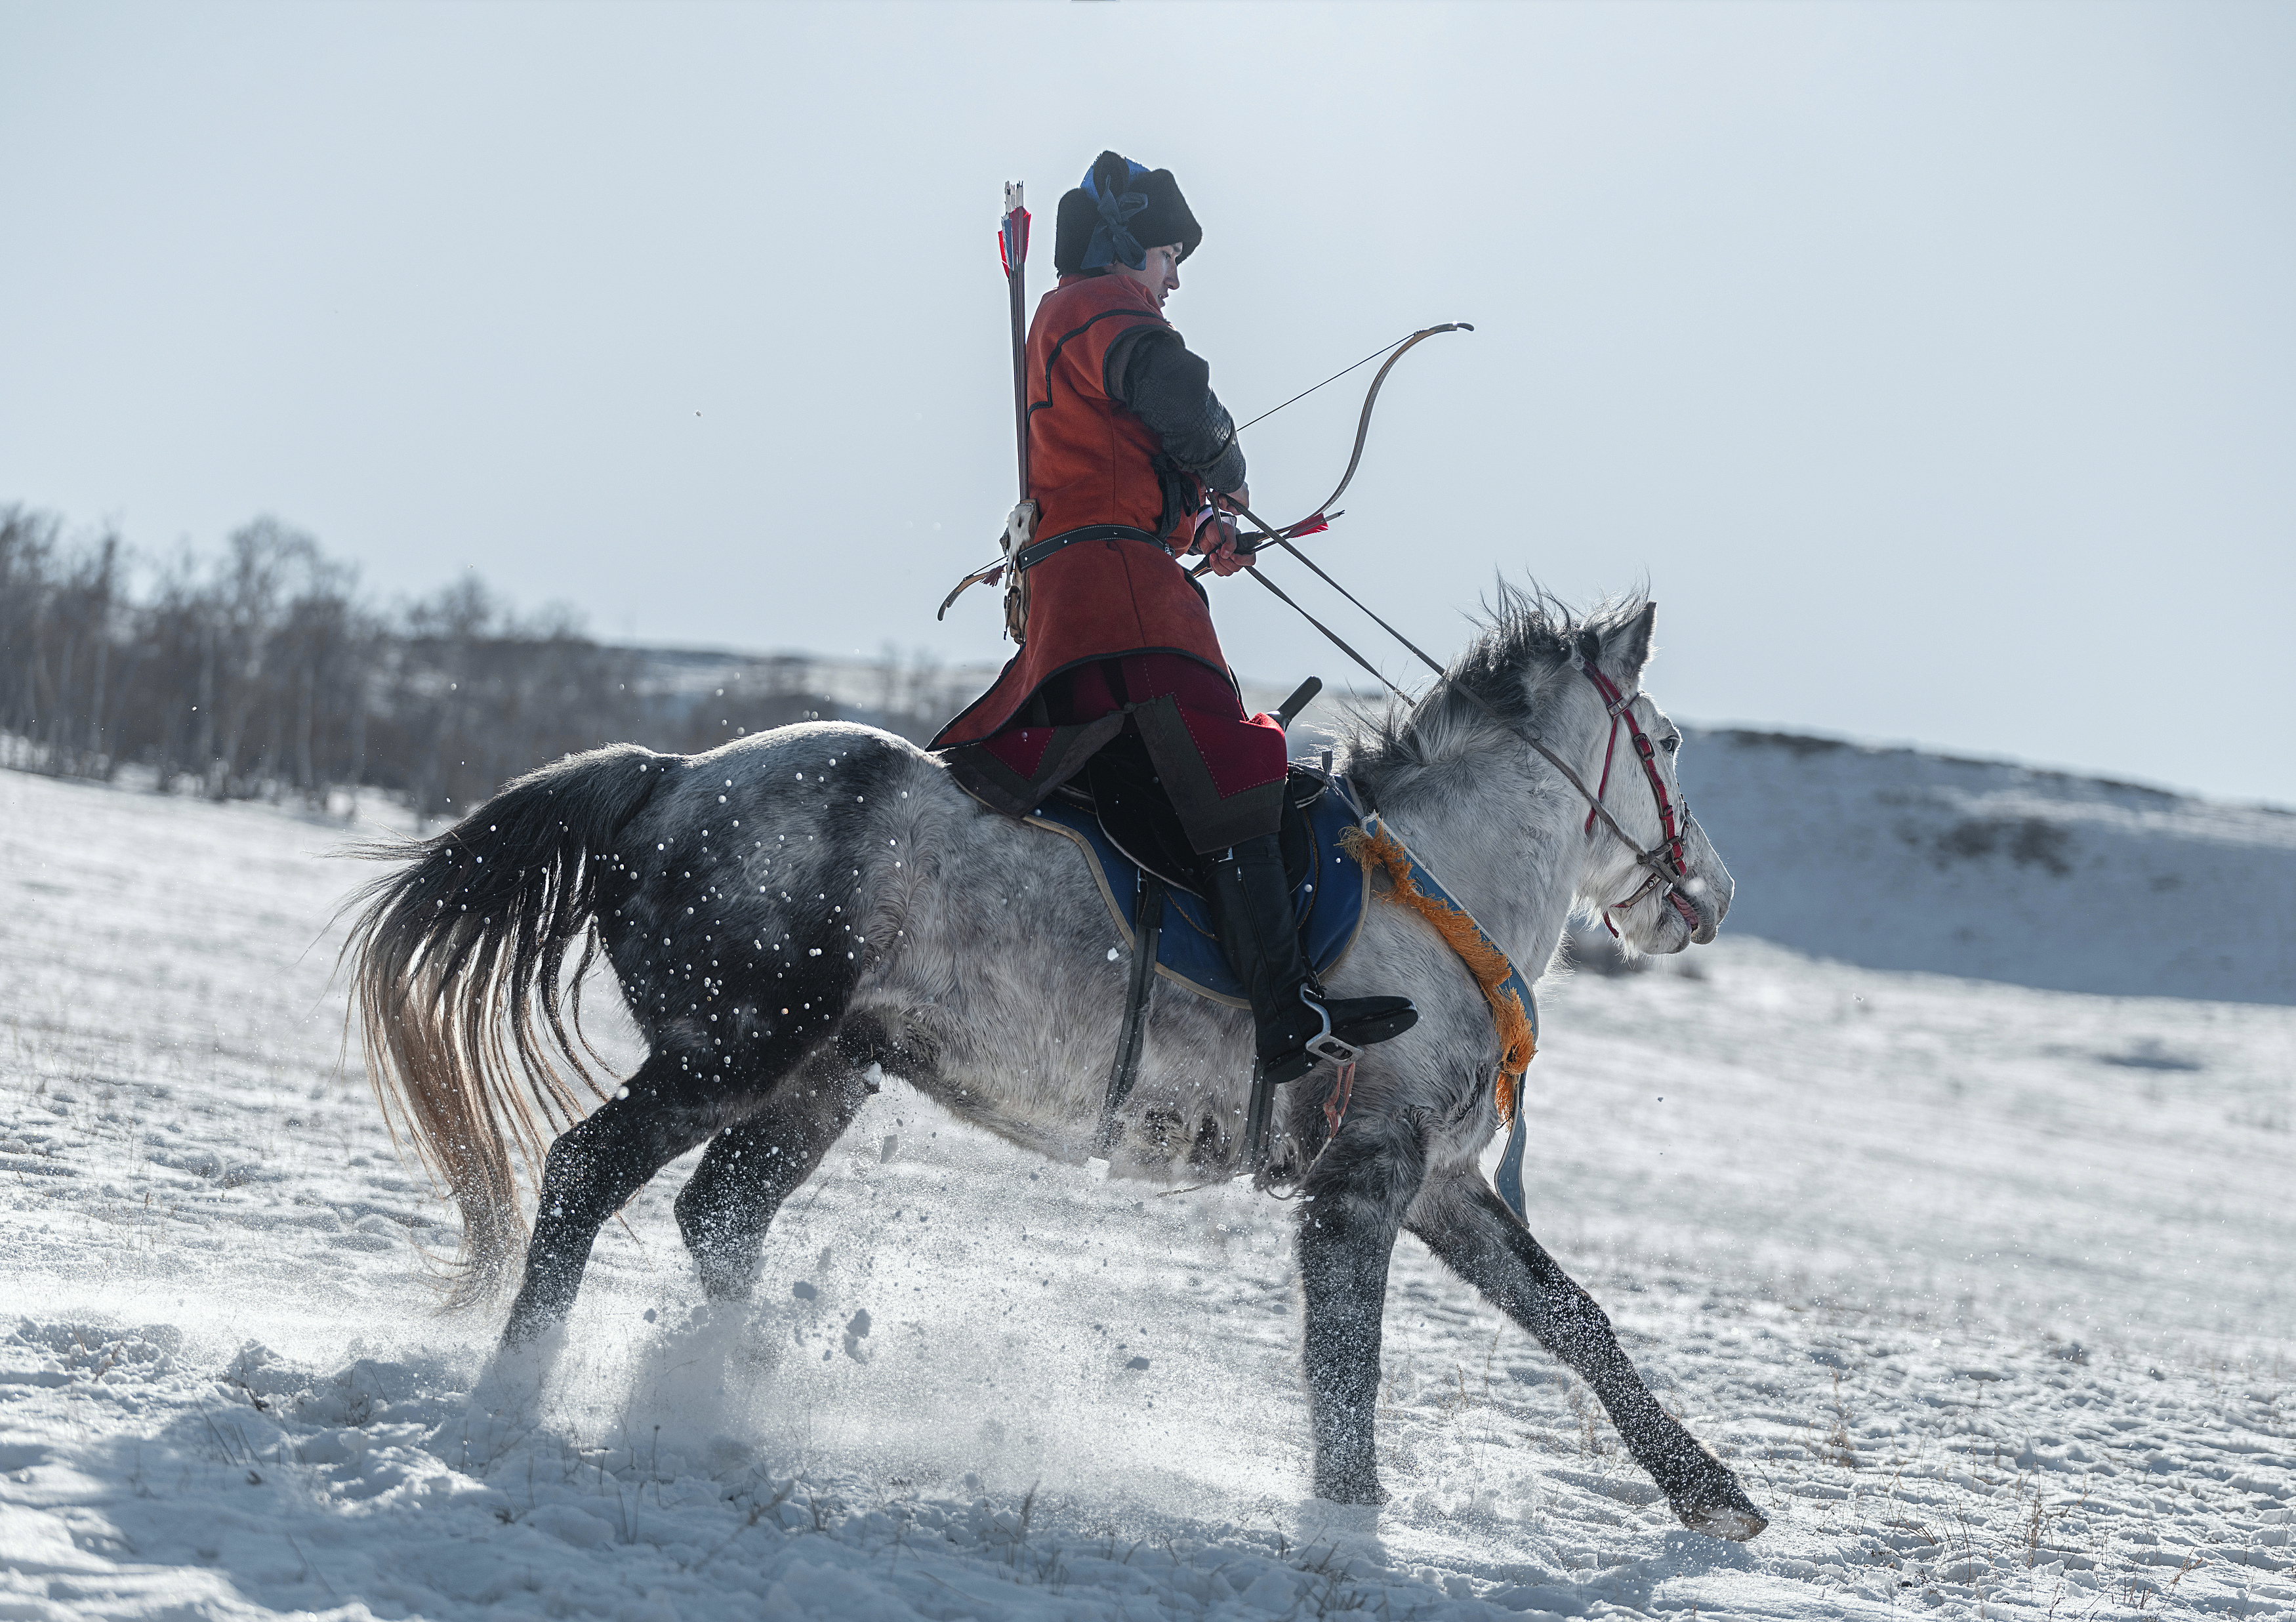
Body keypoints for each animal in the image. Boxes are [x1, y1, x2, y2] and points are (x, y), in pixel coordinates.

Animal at [345, 590, 1766, 1540]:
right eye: (1667, 742)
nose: (1709, 893)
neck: (1436, 893)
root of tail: (673, 774)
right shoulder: (1361, 1181)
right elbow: (1346, 1362)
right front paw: (1351, 1519)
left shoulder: (1439, 1182)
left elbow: (1573, 1316)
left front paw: (1711, 1493)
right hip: (725, 1052)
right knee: (589, 1172)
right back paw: (520, 1387)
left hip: (821, 1078)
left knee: (721, 1213)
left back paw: (738, 1393)